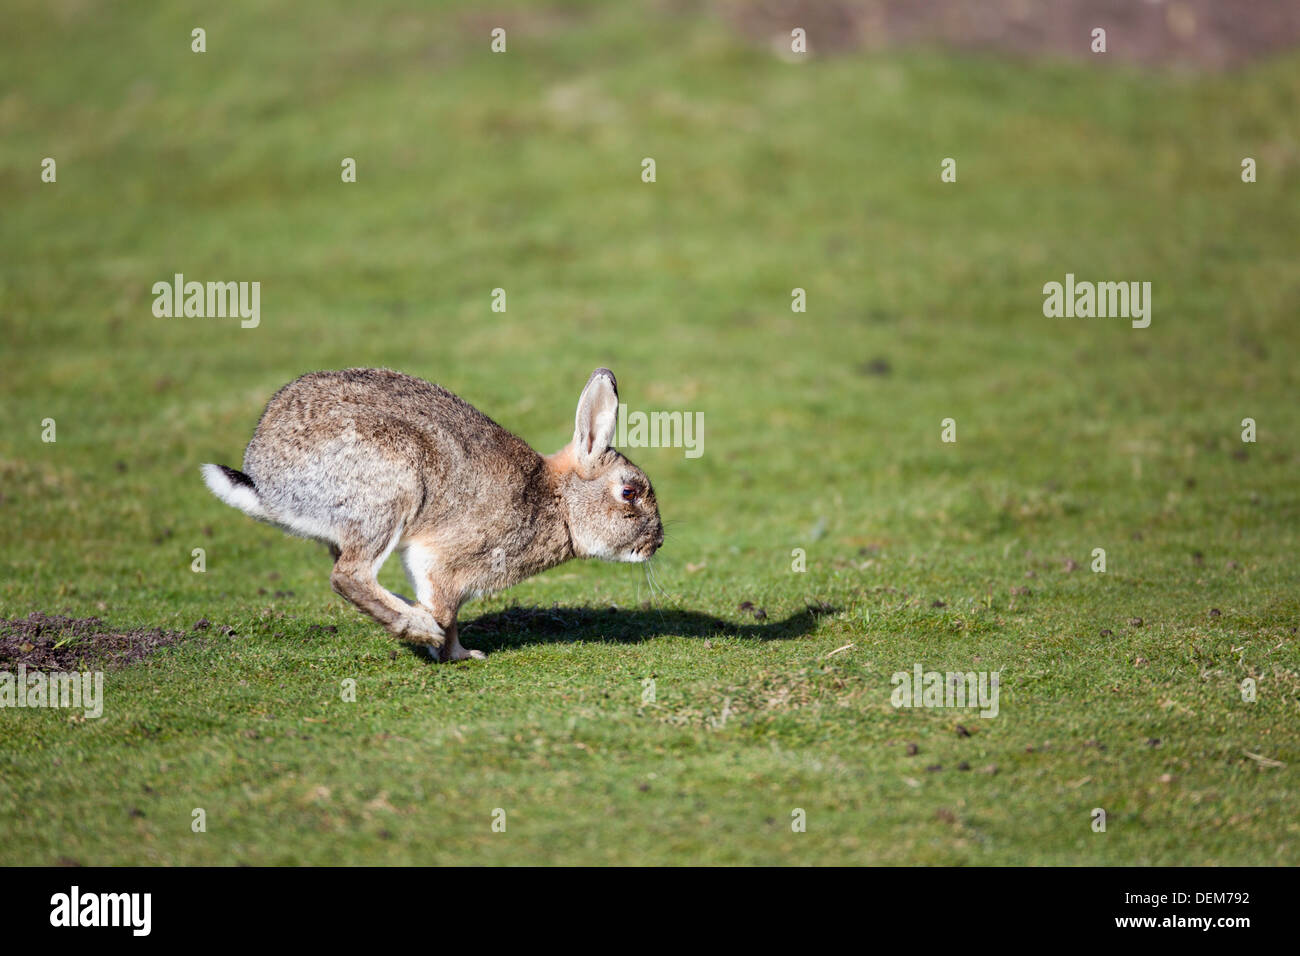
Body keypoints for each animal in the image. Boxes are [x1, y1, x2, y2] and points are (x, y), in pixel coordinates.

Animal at [201, 367, 663, 661]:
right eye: (629, 493)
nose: (656, 543)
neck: (558, 501)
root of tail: (264, 478)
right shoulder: (445, 564)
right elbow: (448, 610)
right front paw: (456, 653)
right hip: (392, 487)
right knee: (348, 576)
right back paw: (418, 625)